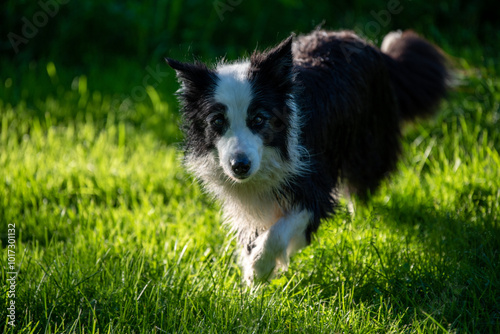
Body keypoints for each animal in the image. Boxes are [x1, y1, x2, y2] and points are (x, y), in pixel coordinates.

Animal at [166, 30, 448, 284]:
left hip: (368, 137)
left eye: (258, 119)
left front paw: (260, 269)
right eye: (217, 121)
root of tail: (369, 45)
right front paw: (250, 279)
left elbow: (283, 228)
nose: (240, 166)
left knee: (363, 179)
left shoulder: (314, 181)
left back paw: (359, 217)